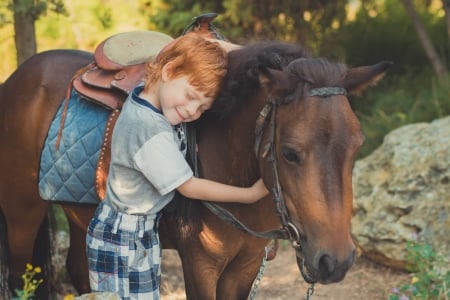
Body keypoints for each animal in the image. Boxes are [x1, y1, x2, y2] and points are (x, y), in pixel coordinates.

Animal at [0, 41, 390, 298]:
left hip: (79, 217)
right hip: (22, 214)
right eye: (290, 153)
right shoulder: (201, 265)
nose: (336, 261)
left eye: (357, 146)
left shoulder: (246, 266)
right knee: (21, 278)